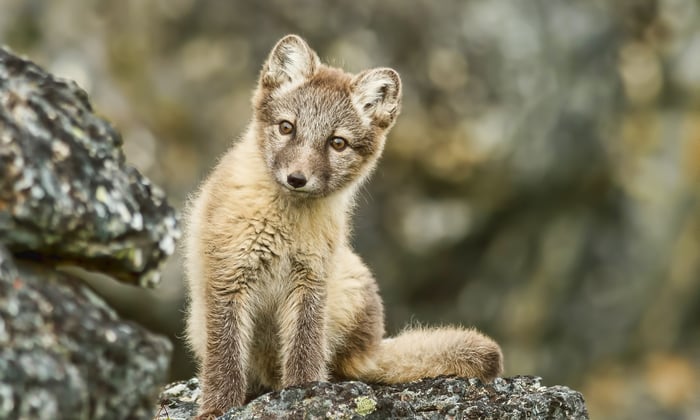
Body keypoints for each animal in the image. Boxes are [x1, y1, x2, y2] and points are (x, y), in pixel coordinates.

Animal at [184, 34, 503, 418]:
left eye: (337, 143)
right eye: (287, 127)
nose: (297, 178)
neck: (284, 229)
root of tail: (370, 348)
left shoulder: (312, 282)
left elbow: (304, 352)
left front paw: (303, 393)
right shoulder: (229, 277)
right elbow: (224, 359)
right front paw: (218, 409)